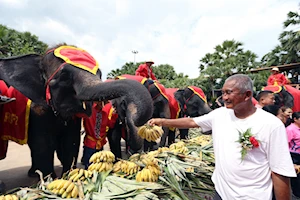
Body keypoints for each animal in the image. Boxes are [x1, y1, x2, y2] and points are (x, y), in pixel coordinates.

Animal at [0, 45, 152, 178]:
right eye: (64, 76)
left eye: (99, 74)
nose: (136, 117)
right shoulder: (37, 111)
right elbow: (43, 145)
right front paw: (50, 180)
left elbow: (71, 142)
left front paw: (68, 176)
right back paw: (33, 173)